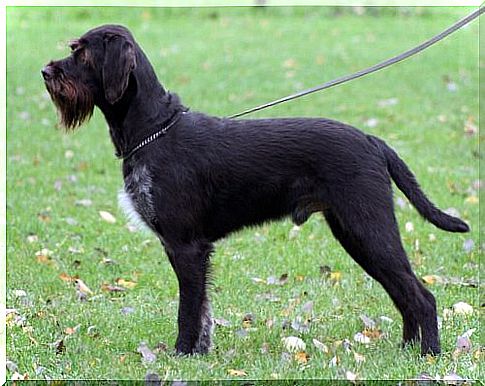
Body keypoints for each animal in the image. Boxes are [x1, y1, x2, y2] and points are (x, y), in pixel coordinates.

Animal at [42, 24, 468, 356]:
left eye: (81, 53)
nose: (46, 71)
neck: (154, 129)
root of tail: (372, 140)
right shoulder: (190, 249)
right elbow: (204, 309)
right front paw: (200, 353)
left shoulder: (186, 246)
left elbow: (188, 309)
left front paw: (181, 355)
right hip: (355, 234)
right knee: (403, 293)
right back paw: (407, 349)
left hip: (369, 228)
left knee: (422, 295)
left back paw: (427, 355)